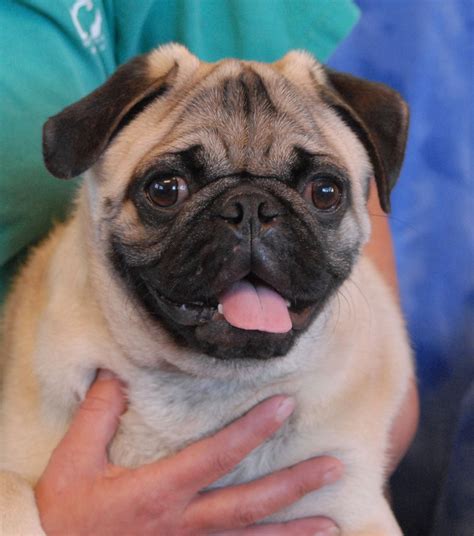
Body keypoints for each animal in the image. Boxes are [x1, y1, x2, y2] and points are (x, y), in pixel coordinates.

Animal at [0, 44, 412, 532]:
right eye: (165, 189)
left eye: (325, 192)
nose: (251, 207)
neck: (204, 387)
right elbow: (11, 491)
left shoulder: (352, 507)